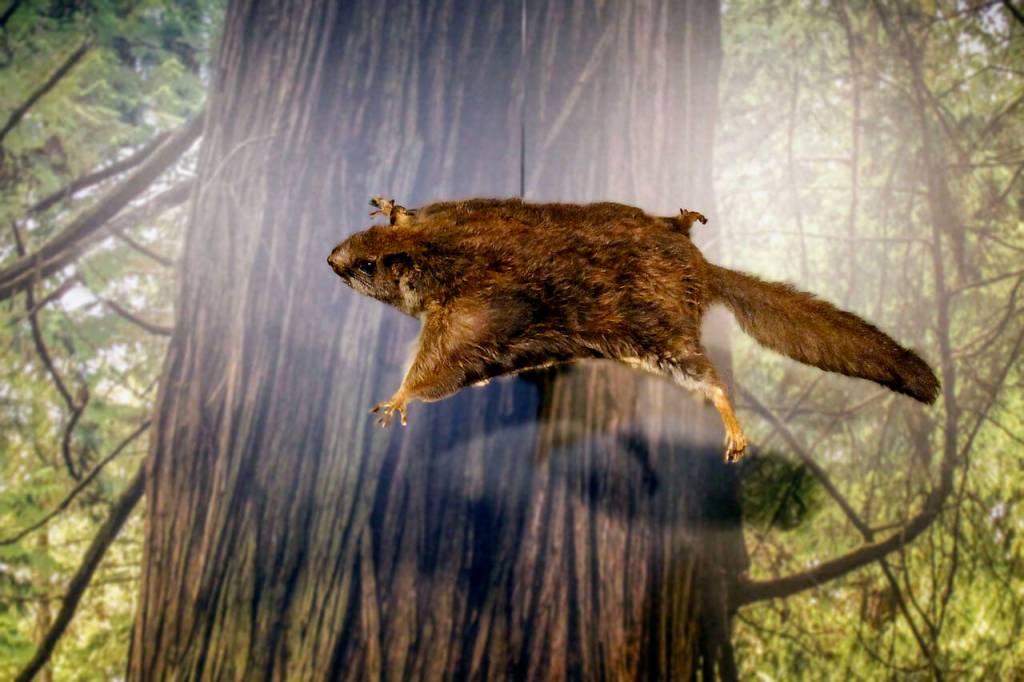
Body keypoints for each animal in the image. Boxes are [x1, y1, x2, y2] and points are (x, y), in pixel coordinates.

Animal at [328, 197, 939, 462]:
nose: (331, 258)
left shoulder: (469, 315)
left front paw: (396, 399)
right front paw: (389, 204)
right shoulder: (457, 214)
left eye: (367, 266)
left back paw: (733, 428)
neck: (439, 250)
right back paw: (684, 217)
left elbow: (441, 366)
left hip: (658, 336)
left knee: (708, 378)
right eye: (358, 241)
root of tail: (702, 272)